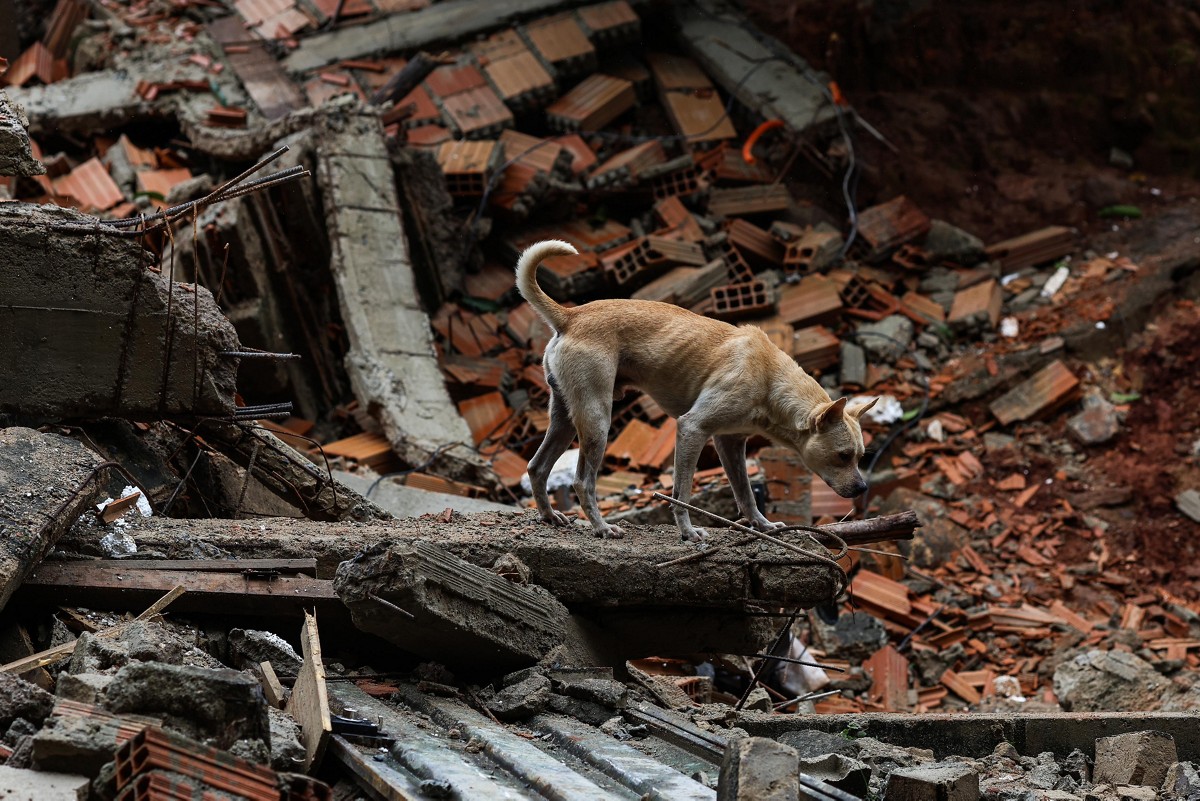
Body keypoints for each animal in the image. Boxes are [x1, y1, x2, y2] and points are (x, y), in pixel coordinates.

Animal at [513, 236, 873, 537]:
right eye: (843, 456)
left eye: (860, 456)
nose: (862, 489)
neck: (770, 378)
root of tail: (570, 316)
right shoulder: (692, 428)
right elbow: (682, 493)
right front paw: (687, 532)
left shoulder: (730, 442)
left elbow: (745, 493)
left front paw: (762, 526)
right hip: (597, 420)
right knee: (582, 482)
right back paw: (602, 527)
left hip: (564, 417)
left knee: (537, 467)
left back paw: (549, 516)